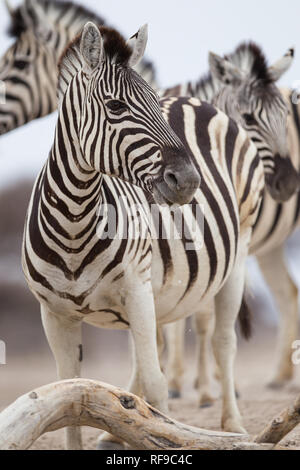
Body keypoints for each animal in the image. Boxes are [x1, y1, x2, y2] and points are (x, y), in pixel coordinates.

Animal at [21, 22, 264, 448]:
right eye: (116, 107)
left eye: (154, 100)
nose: (189, 181)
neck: (73, 224)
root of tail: (194, 100)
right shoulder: (54, 313)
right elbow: (66, 392)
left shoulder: (135, 288)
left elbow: (156, 384)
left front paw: (165, 434)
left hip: (237, 254)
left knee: (223, 342)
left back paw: (233, 426)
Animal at [163, 41, 300, 404]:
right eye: (250, 118)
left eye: (285, 117)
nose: (289, 183)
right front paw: (175, 382)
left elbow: (204, 313)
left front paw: (208, 389)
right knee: (287, 293)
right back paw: (280, 377)